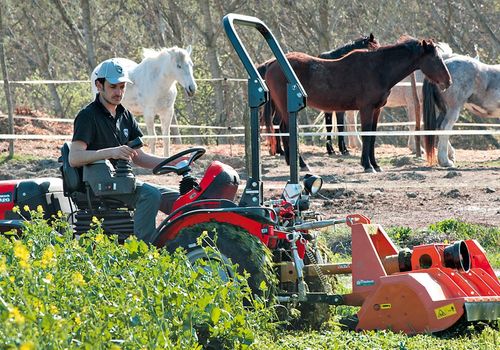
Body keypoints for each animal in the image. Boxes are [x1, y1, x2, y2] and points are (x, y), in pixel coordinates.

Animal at [264, 37, 452, 173]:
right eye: (435, 59)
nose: (448, 81)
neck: (377, 69)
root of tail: (273, 64)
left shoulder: (376, 110)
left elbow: (372, 136)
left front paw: (375, 164)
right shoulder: (366, 109)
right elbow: (366, 135)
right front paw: (367, 165)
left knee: (282, 128)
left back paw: (292, 162)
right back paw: (301, 164)